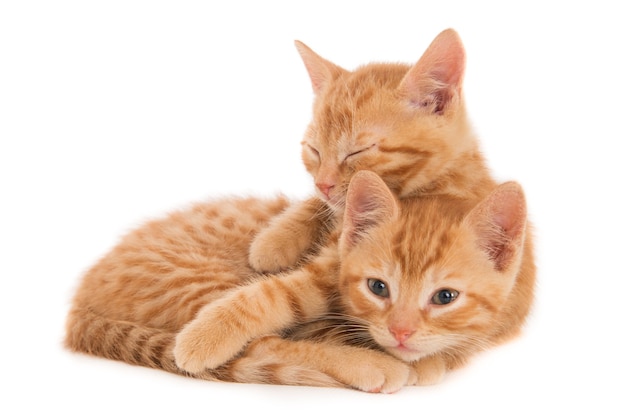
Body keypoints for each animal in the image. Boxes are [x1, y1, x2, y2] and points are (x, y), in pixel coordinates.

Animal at [64, 171, 532, 392]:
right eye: (378, 288)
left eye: (445, 297)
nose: (401, 332)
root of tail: (80, 302)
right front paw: (402, 359)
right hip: (199, 279)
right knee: (262, 342)